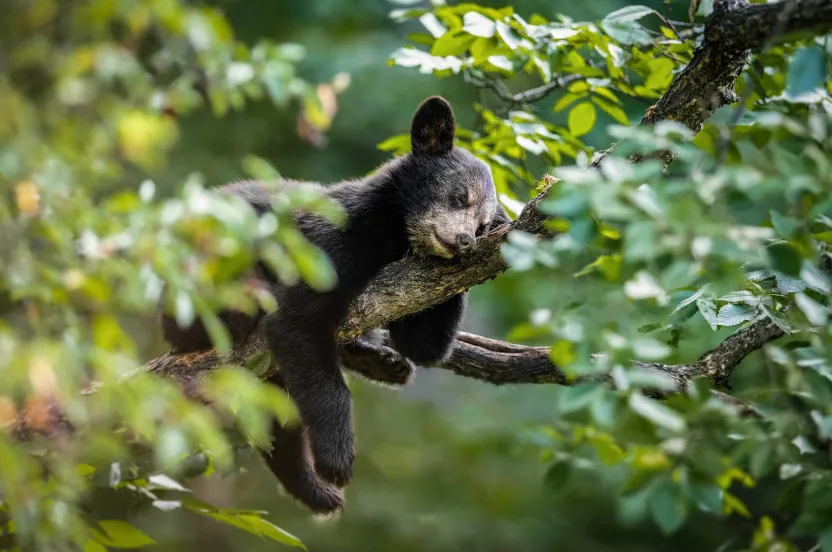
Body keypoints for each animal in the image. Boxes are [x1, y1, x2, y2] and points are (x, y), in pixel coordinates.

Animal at [161, 96, 510, 514]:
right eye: (460, 197)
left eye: (483, 224)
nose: (464, 241)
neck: (392, 235)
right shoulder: (330, 244)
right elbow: (297, 321)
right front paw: (336, 462)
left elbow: (424, 343)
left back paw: (383, 362)